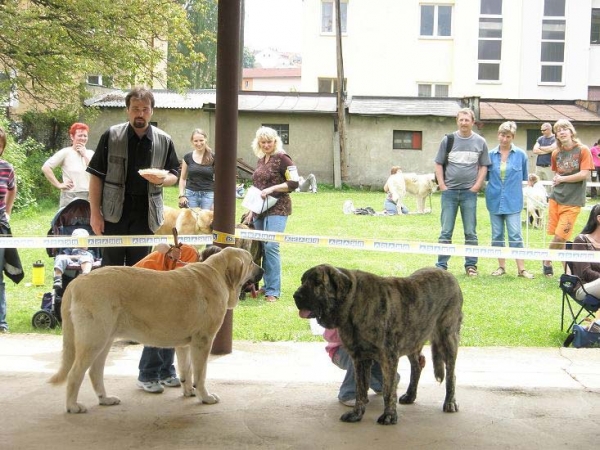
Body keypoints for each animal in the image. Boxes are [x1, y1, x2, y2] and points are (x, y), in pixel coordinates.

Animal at [47, 248, 262, 414]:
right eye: (251, 262)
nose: (262, 269)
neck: (218, 274)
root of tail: (77, 282)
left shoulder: (185, 345)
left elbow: (186, 369)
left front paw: (188, 391)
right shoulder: (203, 341)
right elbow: (200, 374)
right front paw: (205, 396)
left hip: (104, 340)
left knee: (94, 372)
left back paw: (105, 399)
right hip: (94, 340)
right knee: (75, 374)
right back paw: (73, 406)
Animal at [292, 266, 462, 428]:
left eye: (317, 283)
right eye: (302, 281)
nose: (295, 296)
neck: (353, 302)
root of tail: (449, 275)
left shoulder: (388, 357)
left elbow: (388, 390)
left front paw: (389, 416)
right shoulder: (360, 359)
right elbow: (360, 389)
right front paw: (356, 414)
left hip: (448, 337)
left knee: (451, 374)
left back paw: (450, 402)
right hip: (412, 338)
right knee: (417, 365)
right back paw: (410, 395)